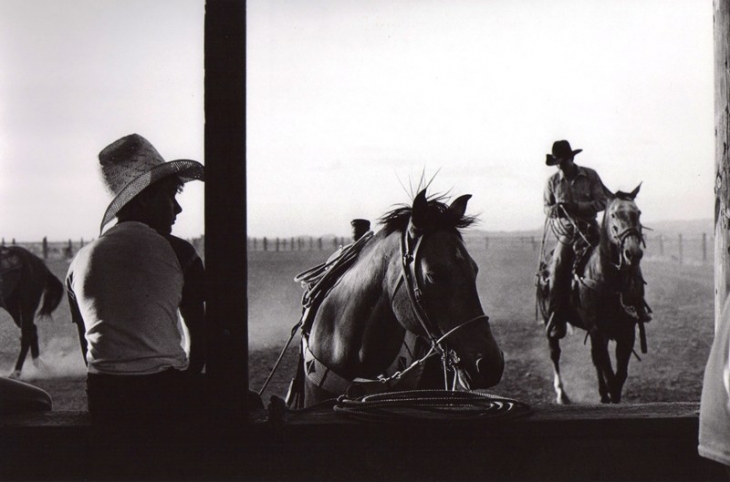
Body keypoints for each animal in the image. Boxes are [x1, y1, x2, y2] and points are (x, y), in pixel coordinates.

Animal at [0, 247, 64, 378]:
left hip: (27, 306)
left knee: (26, 335)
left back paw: (16, 372)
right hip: (12, 307)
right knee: (32, 330)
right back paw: (39, 367)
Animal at [536, 185, 644, 402]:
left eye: (638, 213)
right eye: (613, 214)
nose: (633, 253)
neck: (611, 282)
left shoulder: (626, 332)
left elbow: (618, 376)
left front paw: (610, 396)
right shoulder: (597, 330)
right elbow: (610, 375)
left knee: (595, 360)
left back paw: (601, 395)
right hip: (548, 320)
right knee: (555, 352)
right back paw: (562, 394)